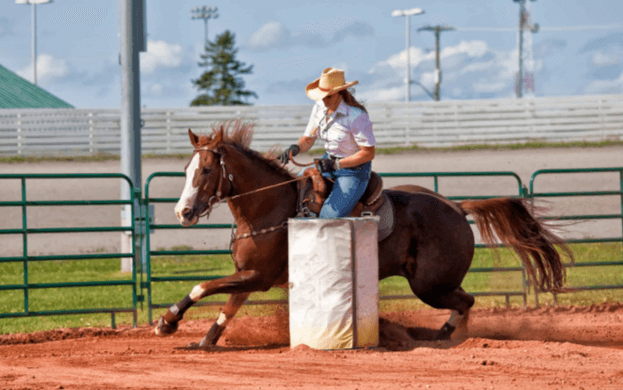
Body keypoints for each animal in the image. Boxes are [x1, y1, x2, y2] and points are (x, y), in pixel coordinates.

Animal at [154, 122, 572, 348]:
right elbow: (226, 308)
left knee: (466, 302)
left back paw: (441, 336)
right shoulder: (247, 277)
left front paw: (167, 322)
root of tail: (457, 207)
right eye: (187, 169)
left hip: (430, 284)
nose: (182, 212)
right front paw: (202, 341)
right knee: (465, 302)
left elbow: (203, 286)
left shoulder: (257, 277)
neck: (269, 207)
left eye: (207, 170)